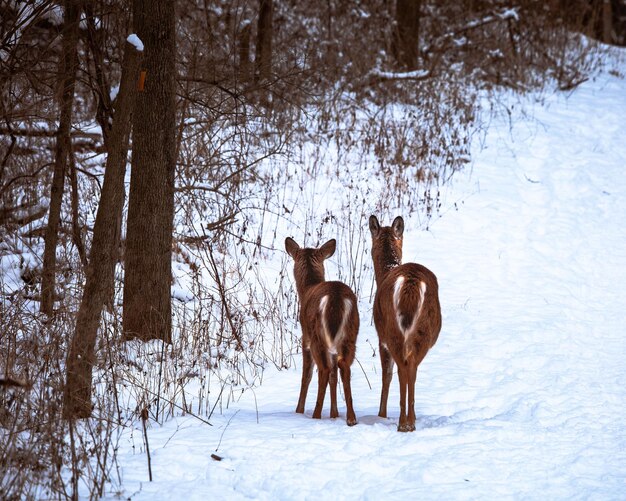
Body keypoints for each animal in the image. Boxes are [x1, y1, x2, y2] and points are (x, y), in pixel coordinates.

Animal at [286, 236, 358, 424]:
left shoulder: (305, 338)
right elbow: (333, 377)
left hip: (317, 336)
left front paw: (299, 410)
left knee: (324, 370)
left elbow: (307, 375)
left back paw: (316, 415)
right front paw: (334, 413)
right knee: (343, 366)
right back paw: (351, 418)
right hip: (351, 334)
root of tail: (336, 298)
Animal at [368, 215, 442, 430]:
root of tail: (411, 283)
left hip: (391, 328)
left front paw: (381, 414)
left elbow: (386, 375)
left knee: (403, 367)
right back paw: (411, 420)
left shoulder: (381, 337)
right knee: (413, 368)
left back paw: (403, 423)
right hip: (425, 330)